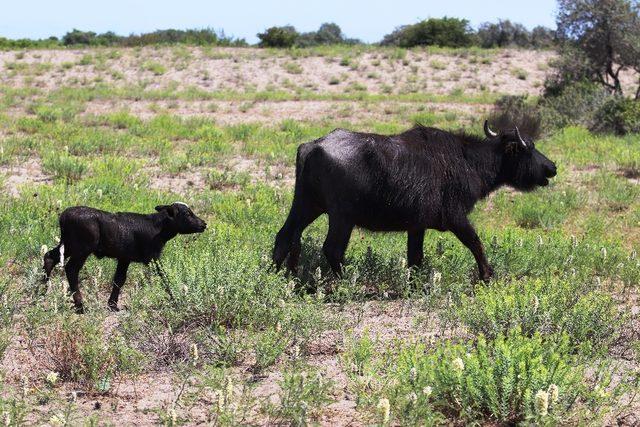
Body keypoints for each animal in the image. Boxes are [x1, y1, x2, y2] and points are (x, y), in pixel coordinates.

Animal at [42, 202, 206, 312]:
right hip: (81, 248)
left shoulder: (124, 258)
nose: (204, 224)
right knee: (71, 269)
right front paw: (176, 300)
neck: (157, 228)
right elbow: (164, 276)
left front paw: (112, 305)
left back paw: (41, 292)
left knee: (49, 256)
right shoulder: (153, 258)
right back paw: (80, 306)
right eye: (188, 214)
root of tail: (64, 217)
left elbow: (119, 280)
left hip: (69, 245)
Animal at [272, 120, 556, 280]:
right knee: (332, 249)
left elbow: (415, 258)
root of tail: (313, 146)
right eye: (529, 148)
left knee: (284, 235)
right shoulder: (456, 218)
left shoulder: (417, 227)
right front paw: (487, 275)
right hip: (341, 217)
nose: (552, 167)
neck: (467, 162)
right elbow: (476, 244)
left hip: (306, 206)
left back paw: (275, 274)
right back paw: (345, 283)